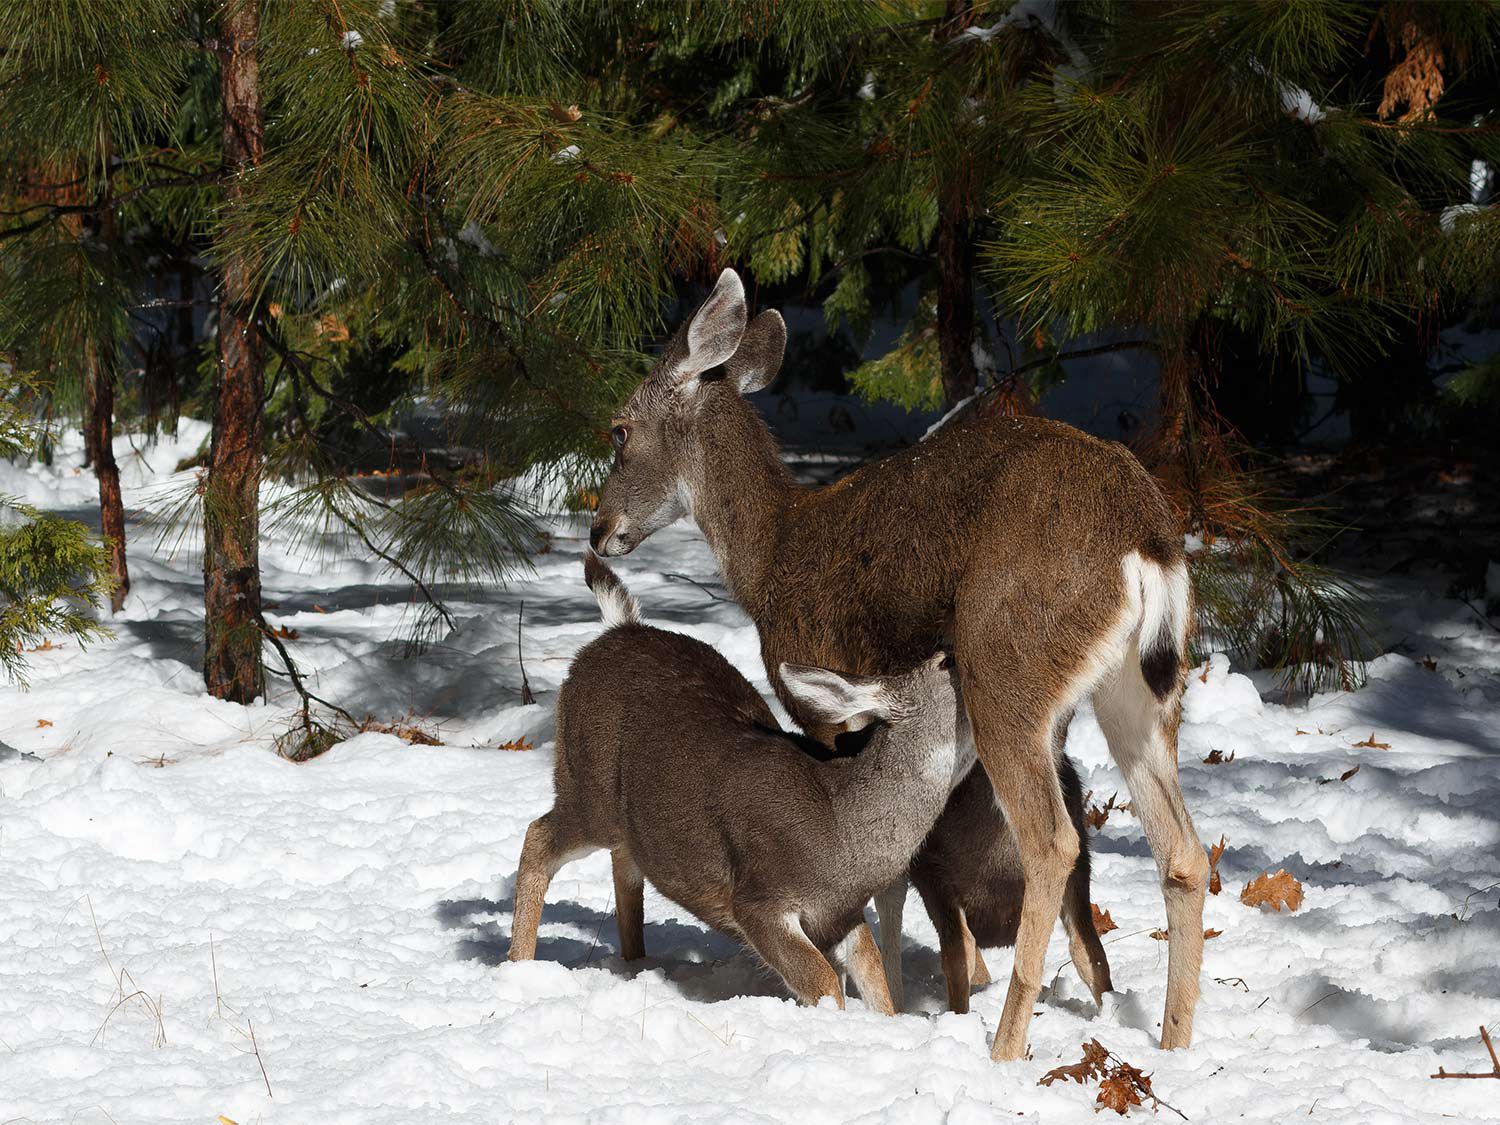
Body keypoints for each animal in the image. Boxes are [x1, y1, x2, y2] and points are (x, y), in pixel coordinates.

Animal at [507, 552, 972, 1014]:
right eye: (944, 662)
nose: (958, 643)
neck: (841, 830)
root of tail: (617, 628)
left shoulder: (840, 913)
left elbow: (875, 980)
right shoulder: (758, 898)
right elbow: (824, 984)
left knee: (624, 859)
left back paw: (634, 962)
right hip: (586, 786)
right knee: (539, 836)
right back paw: (519, 967)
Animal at [585, 268, 1206, 1062]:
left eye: (619, 428)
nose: (600, 528)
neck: (772, 559)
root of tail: (1147, 540)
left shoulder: (825, 702)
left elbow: (886, 872)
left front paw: (898, 997)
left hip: (1006, 667)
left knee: (1053, 842)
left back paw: (1005, 1045)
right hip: (1140, 691)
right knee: (1182, 851)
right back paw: (1173, 1041)